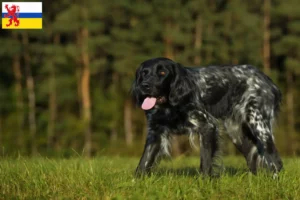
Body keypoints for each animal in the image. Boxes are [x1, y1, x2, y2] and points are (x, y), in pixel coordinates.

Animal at [131, 57, 282, 177]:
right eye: (144, 73)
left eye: (162, 73)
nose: (144, 86)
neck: (169, 106)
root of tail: (268, 80)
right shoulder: (155, 133)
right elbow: (144, 162)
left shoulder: (207, 126)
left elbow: (206, 160)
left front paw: (204, 182)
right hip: (238, 133)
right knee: (252, 158)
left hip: (259, 127)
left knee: (275, 160)